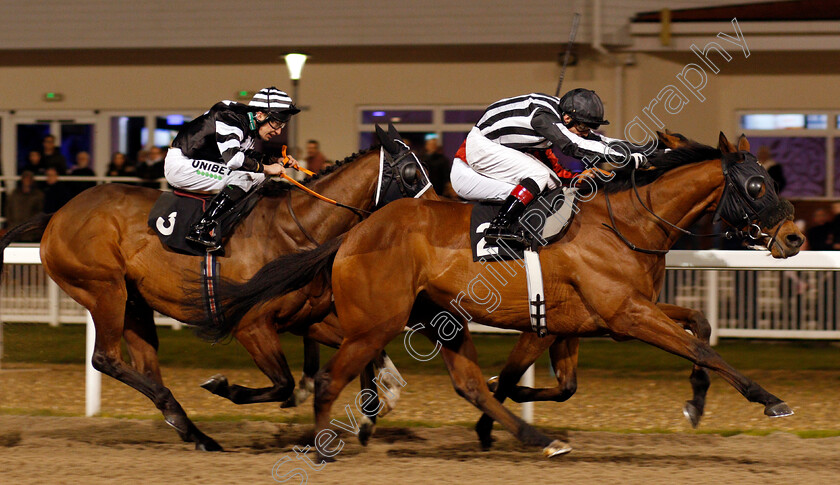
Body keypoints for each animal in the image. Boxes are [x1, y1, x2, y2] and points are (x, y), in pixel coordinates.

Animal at [0, 130, 434, 448]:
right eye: (412, 174)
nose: (435, 214)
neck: (297, 228)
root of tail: (57, 215)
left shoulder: (306, 317)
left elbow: (362, 348)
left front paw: (377, 406)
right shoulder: (251, 324)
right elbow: (283, 384)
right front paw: (225, 386)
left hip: (134, 304)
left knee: (145, 367)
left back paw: (194, 432)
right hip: (104, 290)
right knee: (105, 358)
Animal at [213, 130, 804, 456]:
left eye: (773, 181)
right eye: (756, 185)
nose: (794, 238)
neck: (627, 224)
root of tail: (352, 234)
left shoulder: (599, 318)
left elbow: (697, 328)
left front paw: (696, 402)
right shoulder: (625, 315)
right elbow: (703, 346)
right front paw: (770, 400)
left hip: (437, 319)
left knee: (469, 384)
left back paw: (536, 438)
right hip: (377, 321)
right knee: (328, 378)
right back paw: (321, 446)